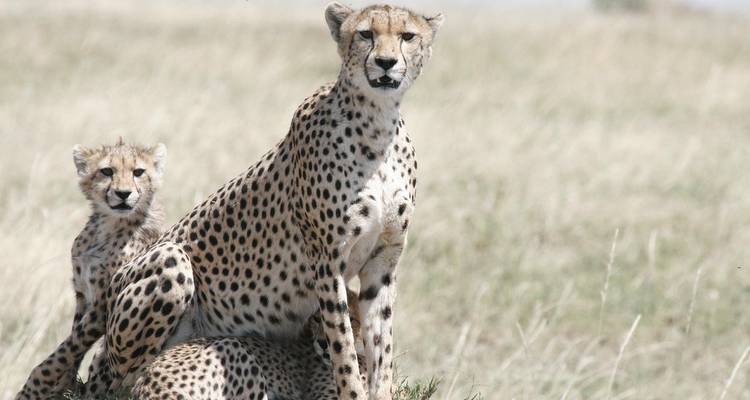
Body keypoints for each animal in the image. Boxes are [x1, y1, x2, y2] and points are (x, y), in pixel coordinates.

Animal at [15, 139, 167, 400]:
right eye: (107, 171)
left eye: (138, 172)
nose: (123, 193)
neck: (108, 226)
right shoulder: (83, 294)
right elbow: (73, 340)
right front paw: (64, 384)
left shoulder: (104, 302)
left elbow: (71, 345)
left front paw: (36, 384)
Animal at [89, 3, 443, 400]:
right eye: (365, 34)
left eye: (407, 36)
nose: (385, 62)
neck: (377, 123)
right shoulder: (327, 261)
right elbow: (345, 352)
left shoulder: (382, 261)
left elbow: (381, 348)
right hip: (170, 262)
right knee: (122, 382)